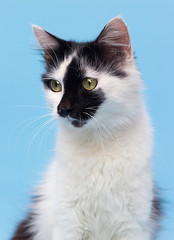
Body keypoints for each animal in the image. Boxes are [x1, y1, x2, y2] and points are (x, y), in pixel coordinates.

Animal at [10, 17, 161, 240]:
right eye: (56, 86)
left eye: (89, 83)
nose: (62, 109)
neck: (98, 143)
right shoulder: (68, 222)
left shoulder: (133, 223)